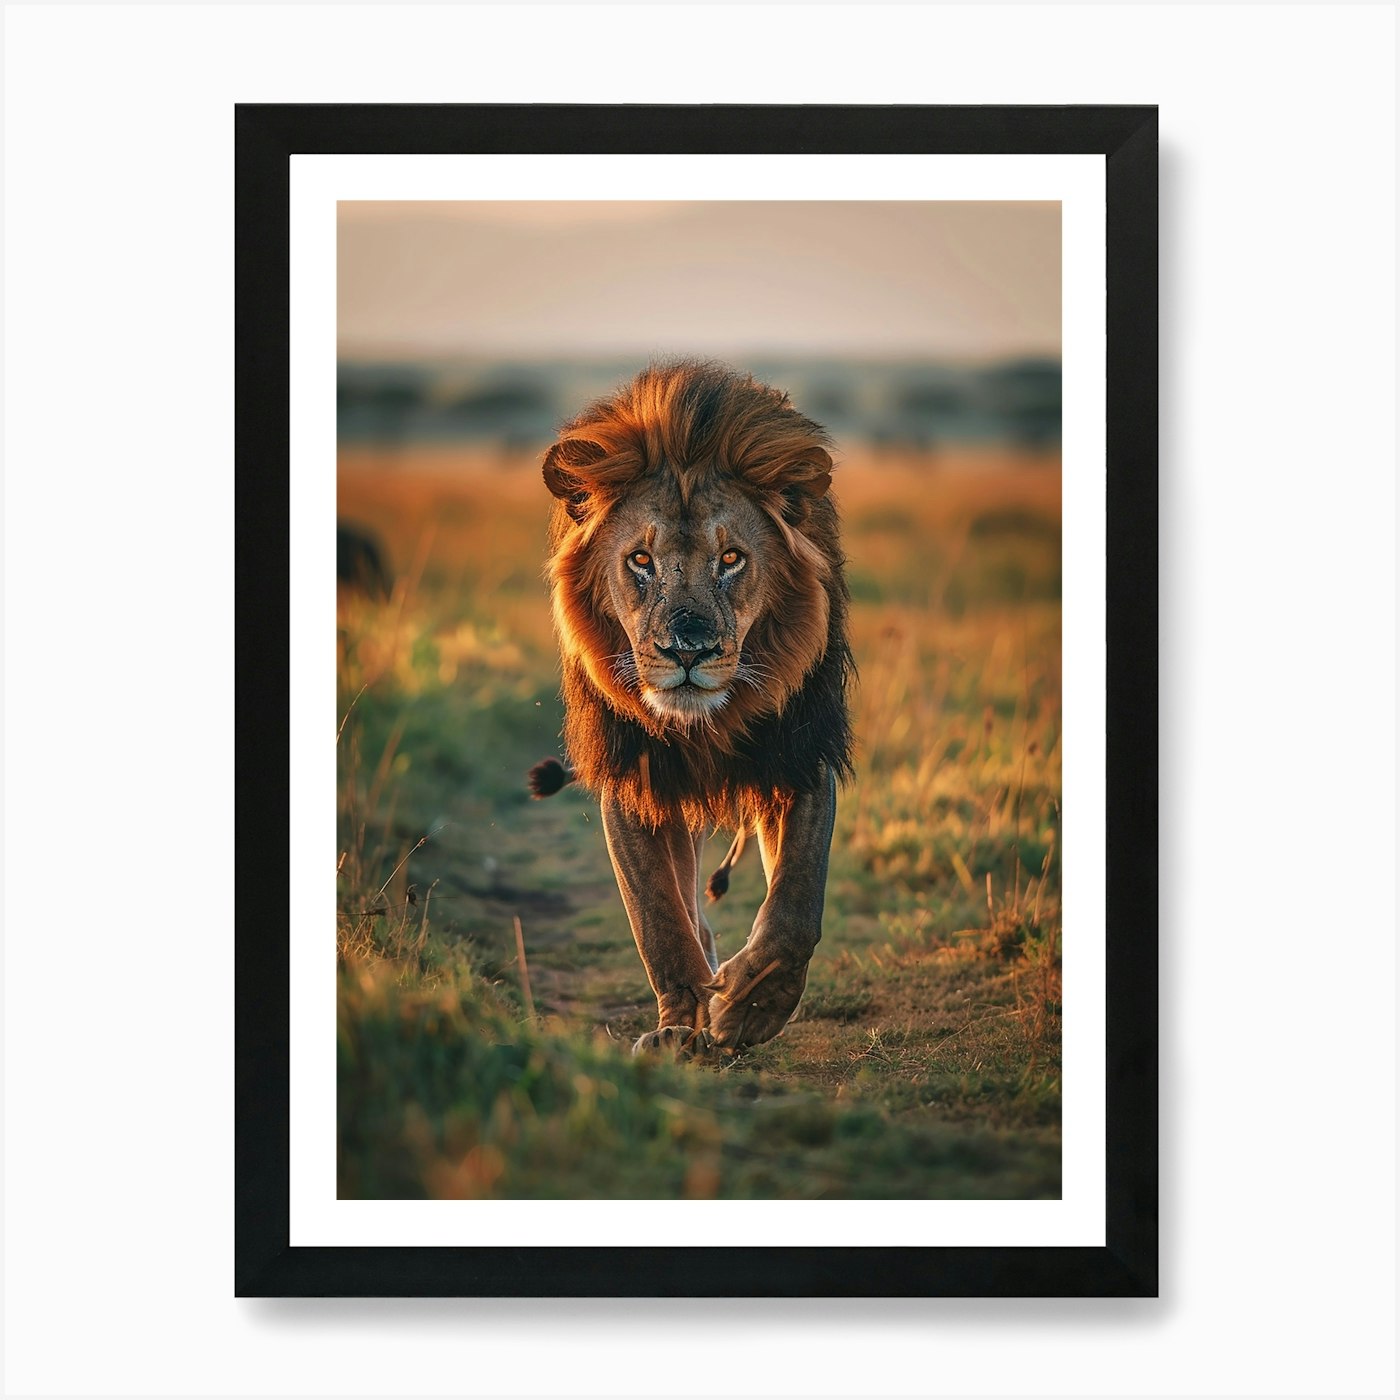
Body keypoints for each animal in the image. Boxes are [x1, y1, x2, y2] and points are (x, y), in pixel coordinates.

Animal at [531, 361, 854, 1057]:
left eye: (730, 558)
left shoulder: (800, 754)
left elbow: (796, 906)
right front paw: (681, 1027)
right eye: (640, 560)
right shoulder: (635, 778)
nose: (688, 649)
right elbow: (659, 916)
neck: (709, 723)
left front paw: (749, 1008)